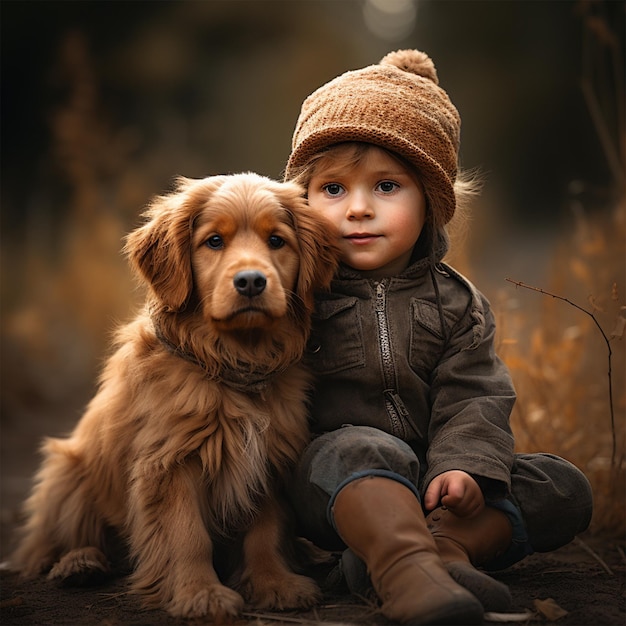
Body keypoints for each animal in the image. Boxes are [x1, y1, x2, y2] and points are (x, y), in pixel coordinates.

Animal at [8, 171, 336, 620]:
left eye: (276, 241)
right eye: (213, 241)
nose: (251, 281)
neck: (234, 363)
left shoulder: (268, 457)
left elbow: (265, 531)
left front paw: (275, 583)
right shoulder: (169, 462)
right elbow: (187, 535)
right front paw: (200, 594)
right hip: (68, 473)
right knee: (50, 545)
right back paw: (79, 563)